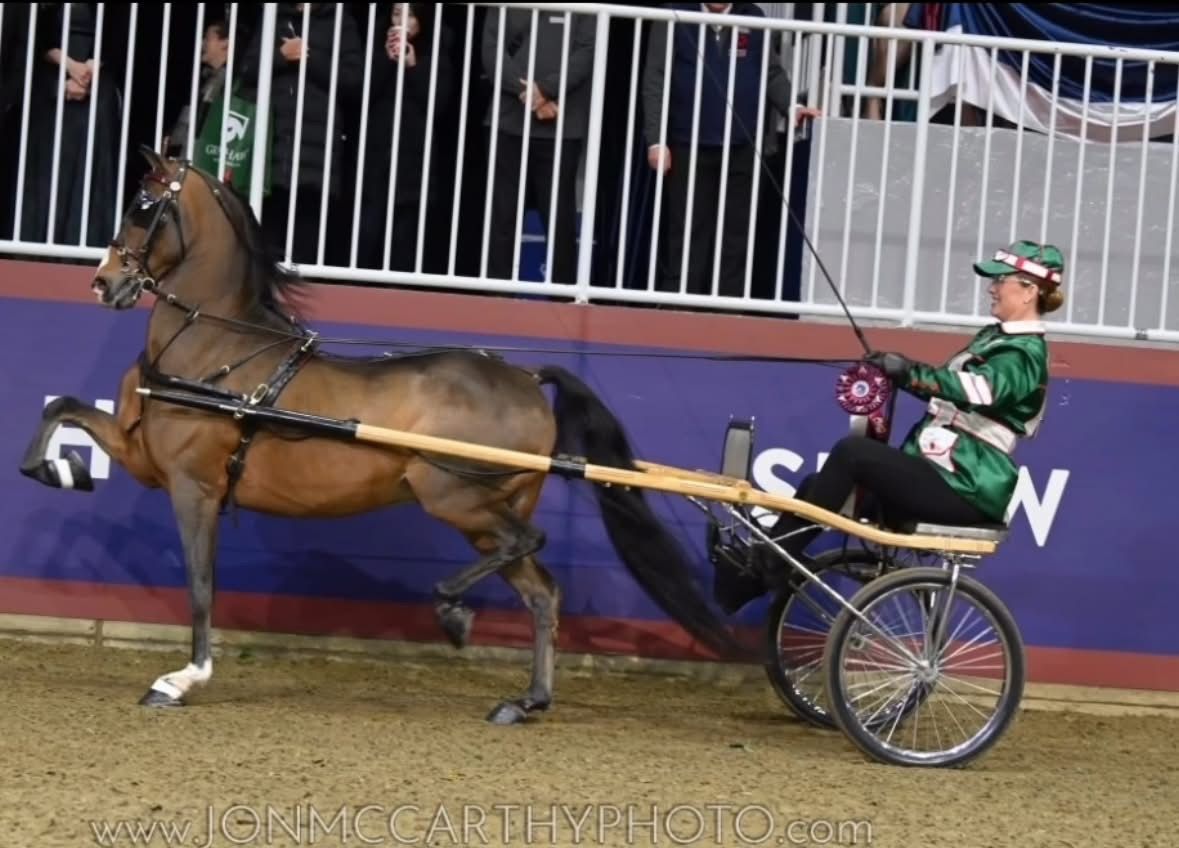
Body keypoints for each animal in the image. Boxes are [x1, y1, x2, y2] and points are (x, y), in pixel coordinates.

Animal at [18, 147, 748, 724]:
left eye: (142, 206)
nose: (104, 282)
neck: (217, 349)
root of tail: (521, 373)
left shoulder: (193, 487)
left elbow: (201, 586)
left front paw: (182, 678)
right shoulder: (142, 456)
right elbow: (66, 414)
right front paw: (60, 470)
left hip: (454, 497)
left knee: (530, 547)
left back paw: (453, 613)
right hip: (481, 512)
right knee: (541, 589)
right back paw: (526, 700)